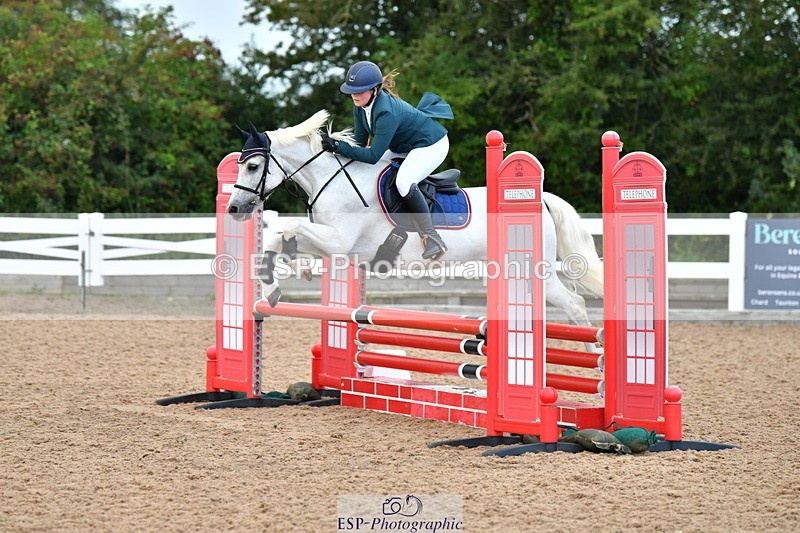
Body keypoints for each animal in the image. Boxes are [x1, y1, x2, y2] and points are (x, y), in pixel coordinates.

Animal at [226, 111, 604, 350]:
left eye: (254, 166)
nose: (233, 210)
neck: (331, 179)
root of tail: (542, 201)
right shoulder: (339, 246)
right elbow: (280, 236)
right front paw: (286, 278)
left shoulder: (340, 241)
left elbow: (287, 226)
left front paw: (286, 275)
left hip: (536, 271)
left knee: (575, 305)